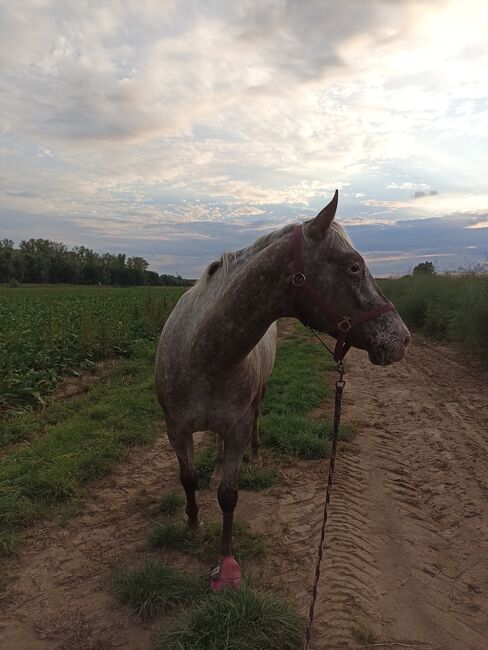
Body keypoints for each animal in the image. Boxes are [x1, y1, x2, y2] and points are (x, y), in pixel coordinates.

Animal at [155, 190, 410, 590]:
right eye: (354, 267)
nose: (402, 338)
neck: (206, 354)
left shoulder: (237, 427)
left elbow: (229, 495)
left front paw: (226, 559)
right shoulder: (176, 429)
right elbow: (188, 478)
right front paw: (193, 523)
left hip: (255, 404)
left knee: (255, 423)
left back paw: (253, 457)